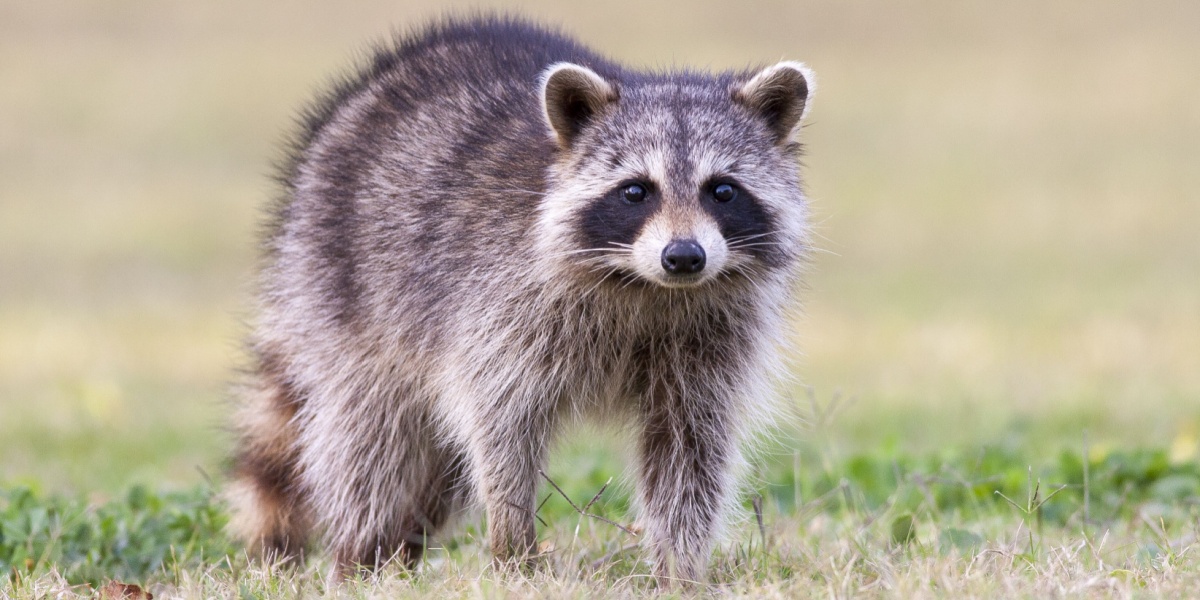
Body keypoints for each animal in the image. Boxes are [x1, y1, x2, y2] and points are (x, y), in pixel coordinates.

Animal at [228, 16, 814, 583]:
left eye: (723, 190)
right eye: (635, 191)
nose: (685, 256)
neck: (644, 285)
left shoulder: (712, 343)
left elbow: (688, 451)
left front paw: (681, 569)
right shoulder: (500, 307)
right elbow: (499, 427)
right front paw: (514, 548)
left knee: (434, 475)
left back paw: (400, 553)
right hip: (344, 291)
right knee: (370, 442)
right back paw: (361, 556)